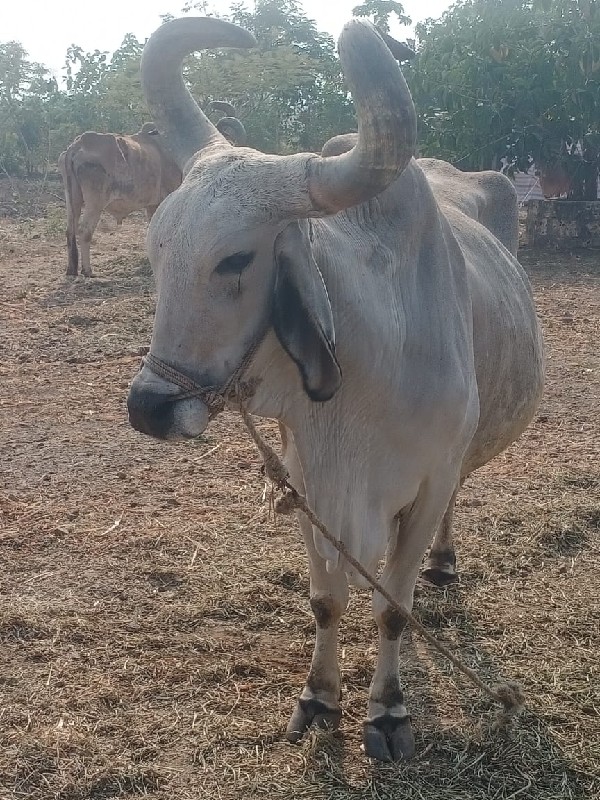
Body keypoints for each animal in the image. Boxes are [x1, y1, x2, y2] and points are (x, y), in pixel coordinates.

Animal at [58, 123, 180, 276]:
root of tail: (77, 145)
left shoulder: (152, 205)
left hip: (73, 199)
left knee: (70, 230)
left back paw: (71, 269)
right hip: (95, 203)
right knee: (84, 230)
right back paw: (88, 270)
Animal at [126, 15, 544, 760]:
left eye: (236, 259)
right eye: (157, 250)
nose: (148, 407)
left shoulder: (425, 483)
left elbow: (393, 609)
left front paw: (387, 710)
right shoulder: (309, 479)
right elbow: (327, 599)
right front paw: (320, 697)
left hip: (458, 456)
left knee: (455, 502)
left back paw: (444, 563)